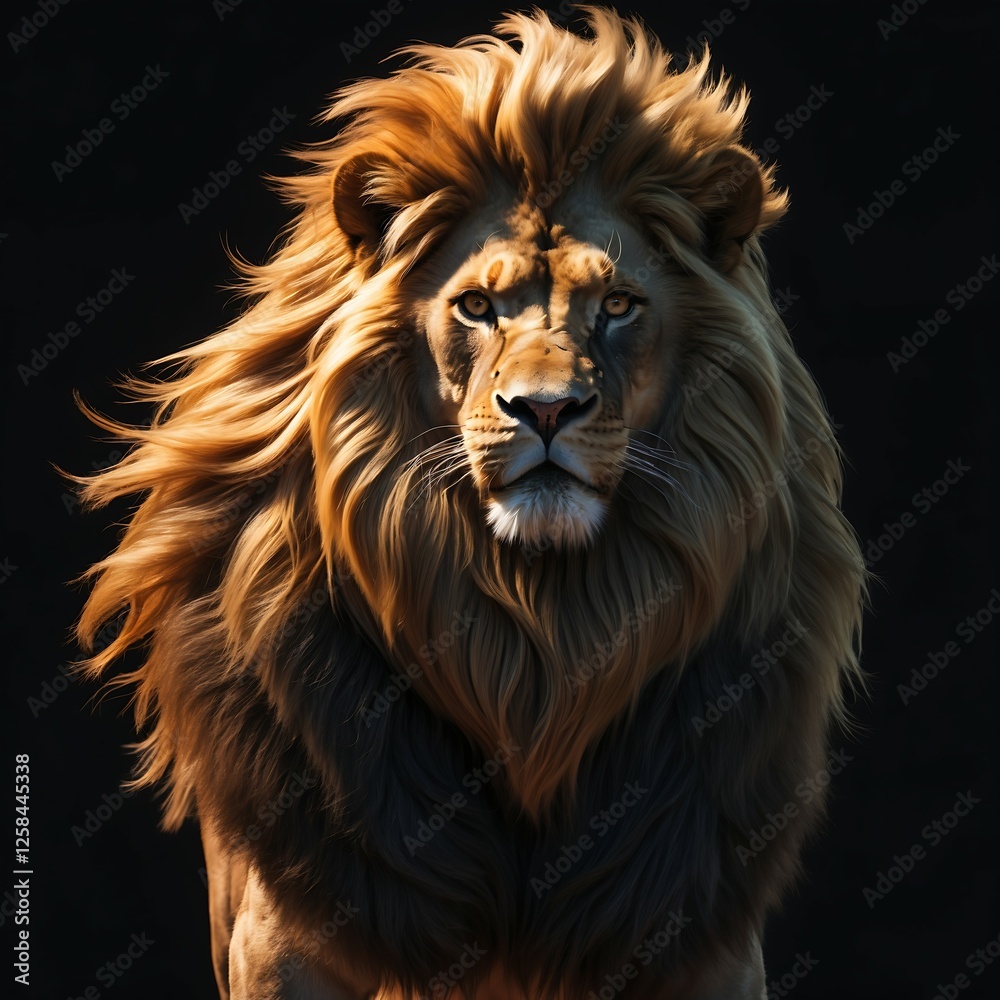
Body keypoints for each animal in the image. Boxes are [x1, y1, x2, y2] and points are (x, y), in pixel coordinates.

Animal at [74, 9, 866, 1000]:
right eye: (478, 306)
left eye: (617, 304)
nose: (547, 409)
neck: (535, 645)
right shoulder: (281, 934)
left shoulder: (695, 928)